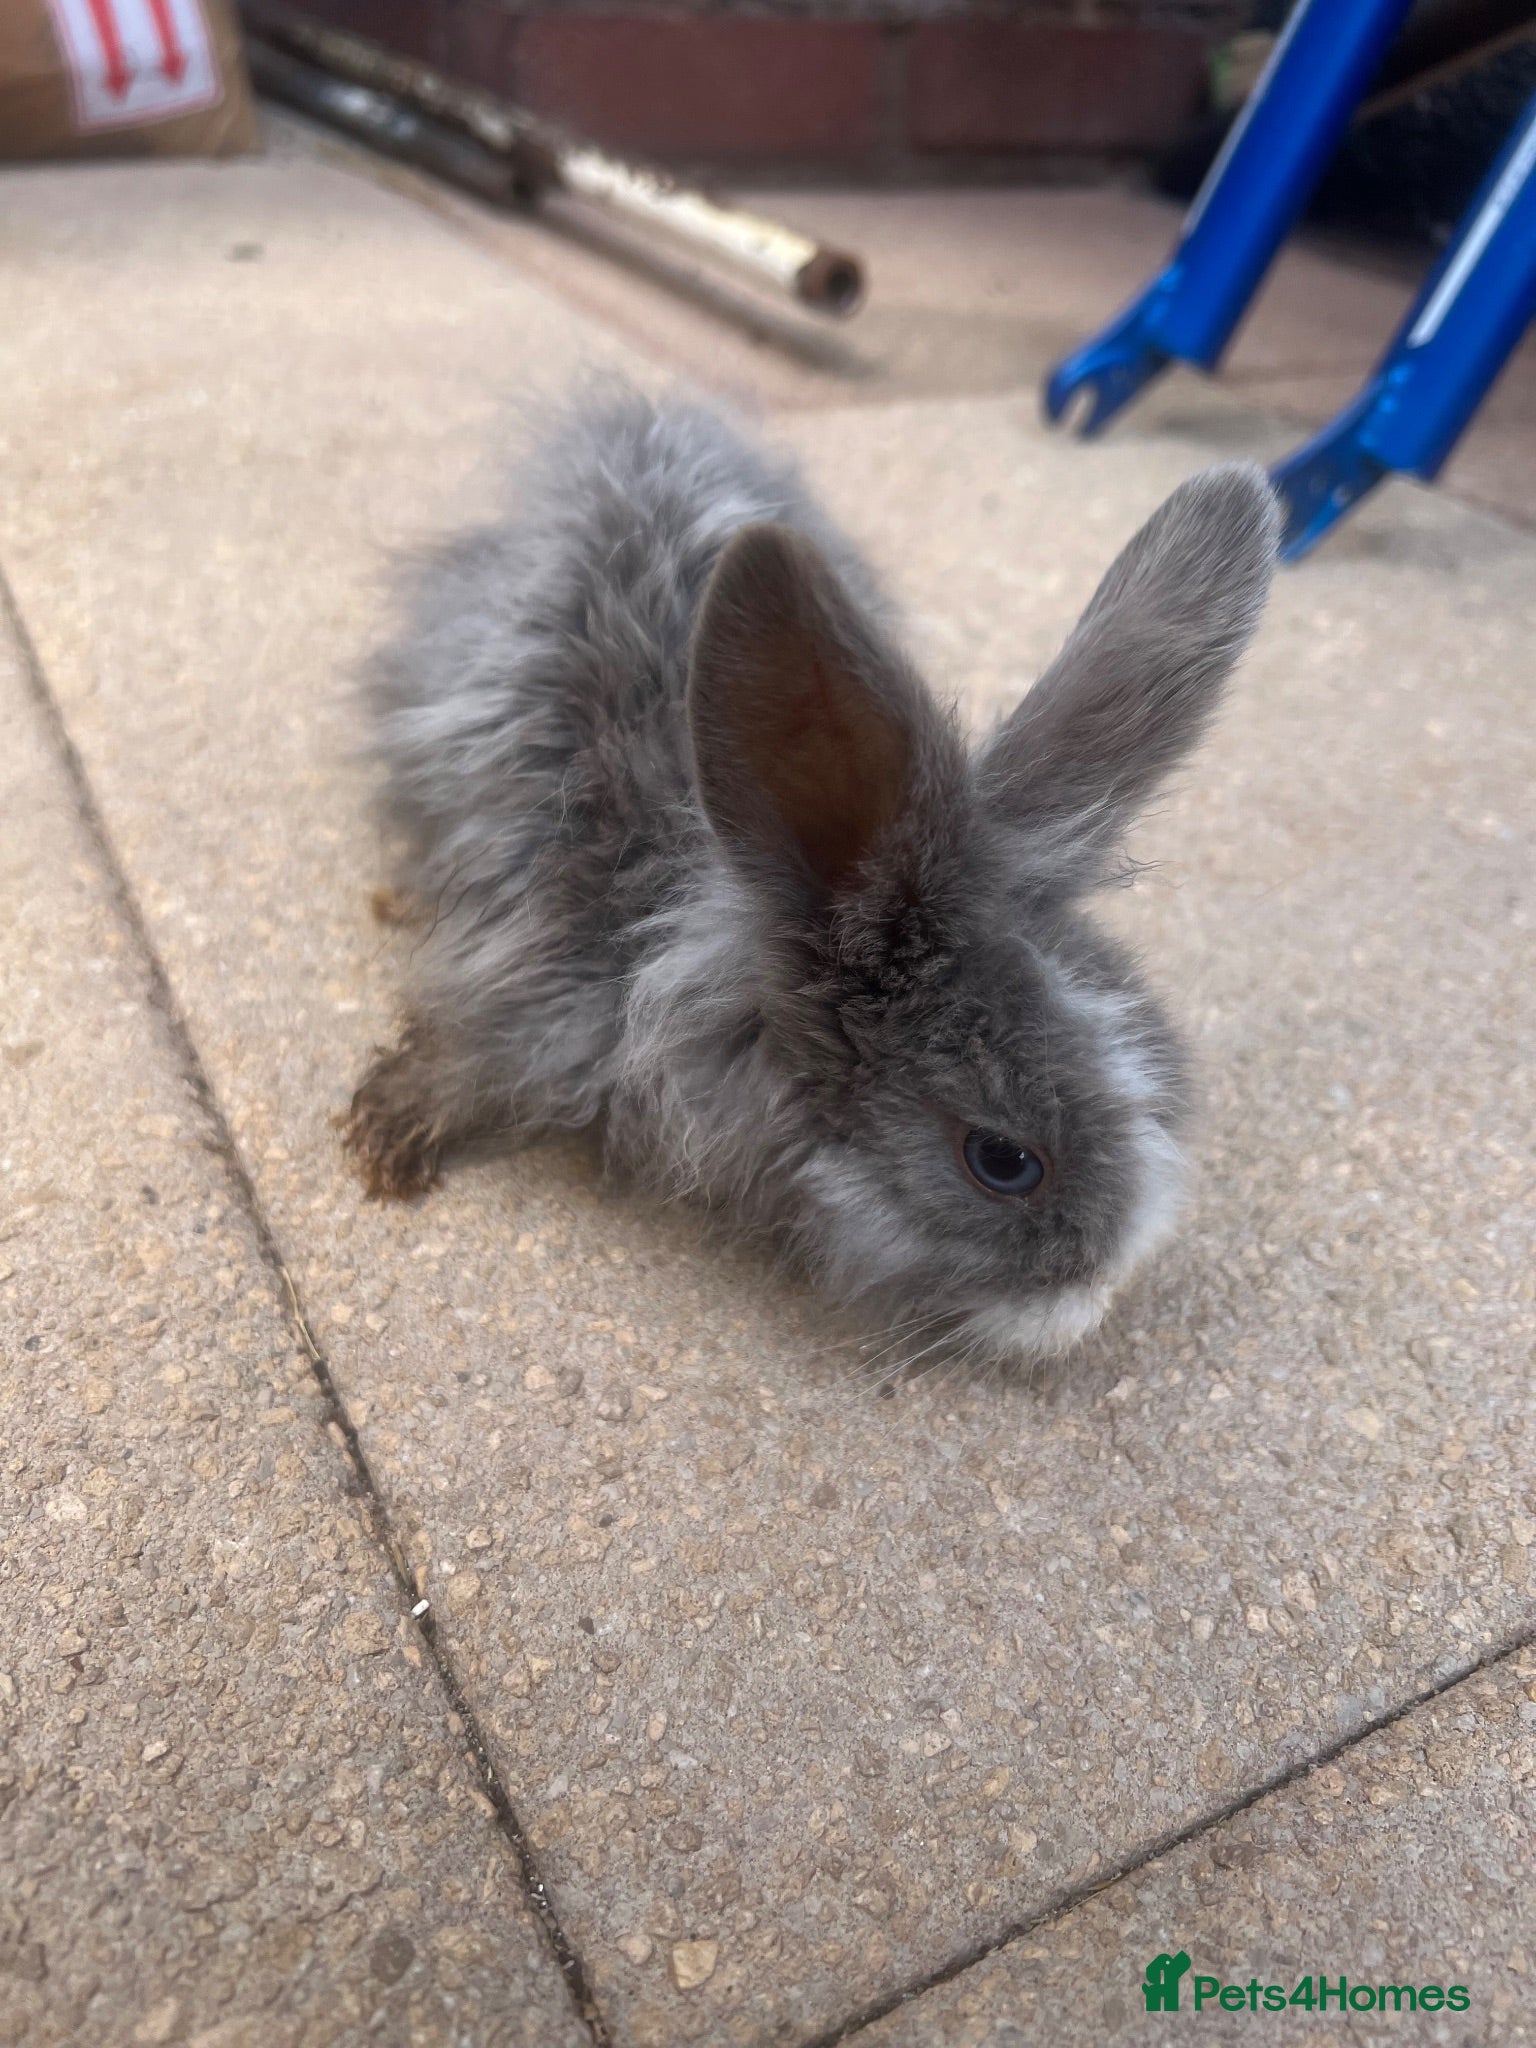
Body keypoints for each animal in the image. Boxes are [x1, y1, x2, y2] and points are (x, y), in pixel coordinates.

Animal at [345, 387, 1278, 1363]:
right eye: (1003, 1161)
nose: (1097, 1296)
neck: (665, 922)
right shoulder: (533, 989)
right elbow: (469, 1055)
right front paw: (388, 1135)